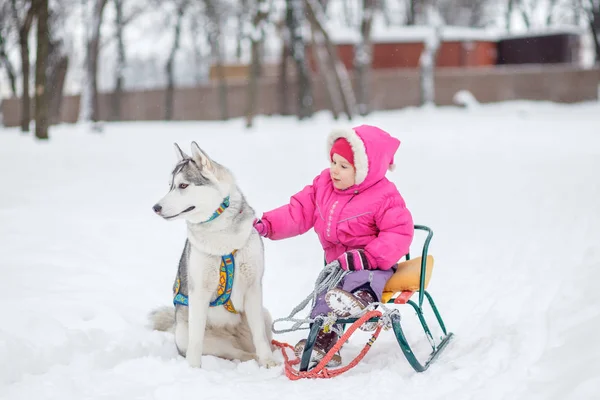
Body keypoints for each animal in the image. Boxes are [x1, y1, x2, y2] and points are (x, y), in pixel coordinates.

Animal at [150, 143, 276, 368]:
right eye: (170, 185)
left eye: (183, 185)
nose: (156, 208)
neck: (222, 241)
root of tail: (230, 333)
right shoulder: (199, 291)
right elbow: (196, 341)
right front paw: (192, 369)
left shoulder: (253, 288)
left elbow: (260, 336)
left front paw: (269, 362)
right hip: (188, 334)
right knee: (236, 353)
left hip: (265, 314)